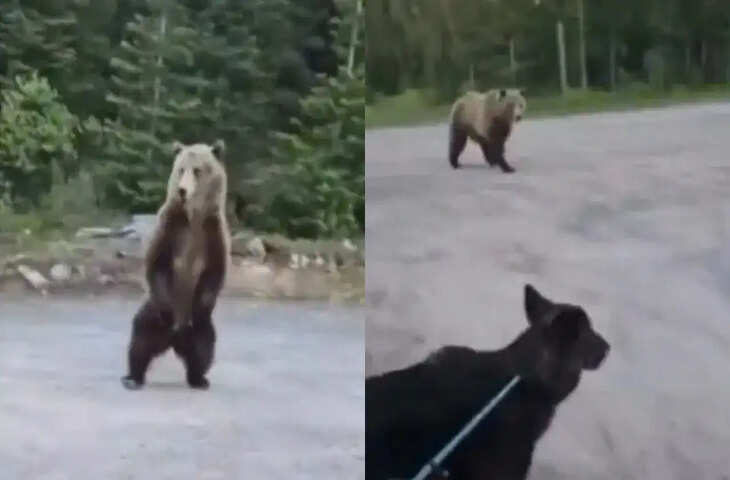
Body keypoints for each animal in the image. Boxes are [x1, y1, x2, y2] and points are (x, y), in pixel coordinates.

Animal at [121, 139, 230, 391]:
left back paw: (199, 378)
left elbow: (214, 272)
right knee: (140, 339)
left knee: (204, 345)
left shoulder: (213, 231)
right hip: (151, 314)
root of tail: (173, 341)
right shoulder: (171, 225)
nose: (182, 190)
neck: (194, 217)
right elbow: (157, 263)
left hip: (198, 329)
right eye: (181, 169)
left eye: (197, 170)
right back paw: (133, 377)